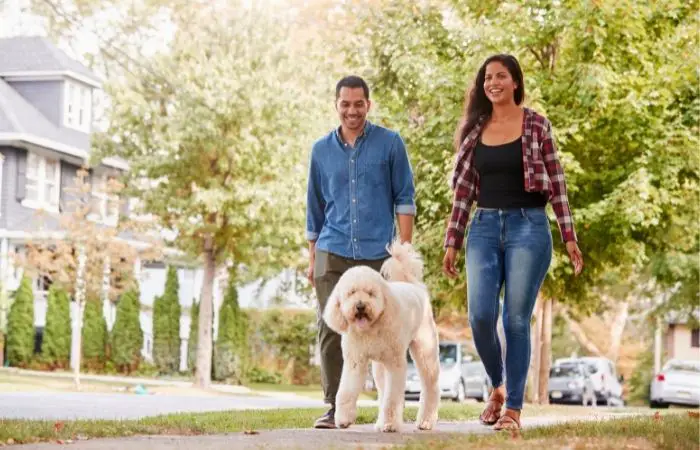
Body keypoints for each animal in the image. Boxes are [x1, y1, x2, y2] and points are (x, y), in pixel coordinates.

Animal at [322, 241, 438, 430]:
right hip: (379, 366)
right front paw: (344, 418)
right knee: (383, 390)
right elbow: (346, 391)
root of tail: (414, 286)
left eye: (370, 293)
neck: (370, 329)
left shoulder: (395, 365)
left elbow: (392, 398)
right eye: (351, 292)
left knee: (430, 387)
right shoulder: (355, 362)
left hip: (425, 352)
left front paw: (390, 424)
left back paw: (426, 421)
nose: (360, 306)